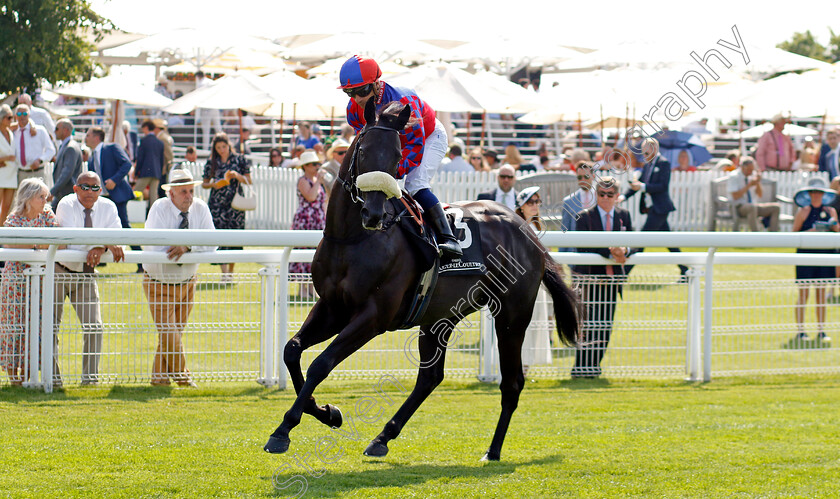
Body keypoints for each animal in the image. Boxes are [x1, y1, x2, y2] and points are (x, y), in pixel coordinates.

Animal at [266, 97, 580, 460]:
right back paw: (382, 437)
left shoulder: (373, 316)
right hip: (440, 316)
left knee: (512, 382)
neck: (352, 238)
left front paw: (284, 429)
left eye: (397, 156)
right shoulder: (332, 307)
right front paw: (326, 412)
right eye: (363, 151)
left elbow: (321, 363)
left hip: (512, 314)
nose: (374, 214)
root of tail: (526, 229)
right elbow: (292, 350)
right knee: (430, 377)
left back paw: (493, 451)